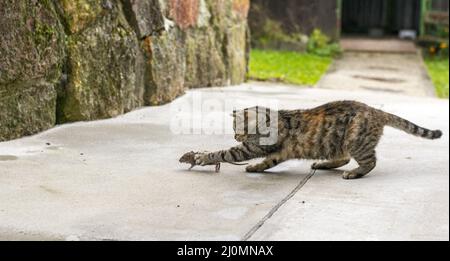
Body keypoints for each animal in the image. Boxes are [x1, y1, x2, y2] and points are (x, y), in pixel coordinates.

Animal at [184, 101, 442, 179]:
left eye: (238, 130)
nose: (235, 135)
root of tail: (376, 111)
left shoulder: (250, 147)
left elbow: (224, 152)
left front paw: (203, 157)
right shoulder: (278, 153)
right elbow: (267, 162)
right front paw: (256, 168)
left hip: (355, 140)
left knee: (369, 162)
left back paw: (354, 173)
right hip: (338, 143)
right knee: (343, 158)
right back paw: (323, 164)